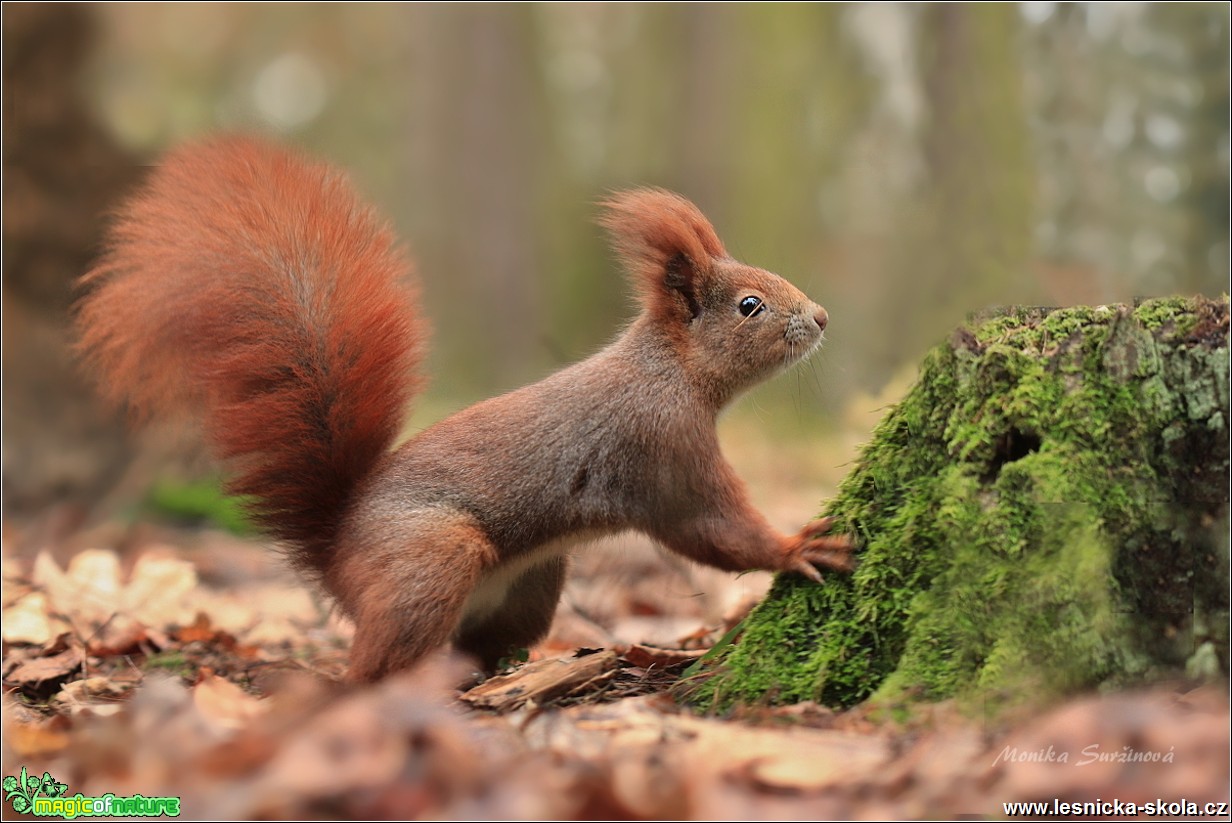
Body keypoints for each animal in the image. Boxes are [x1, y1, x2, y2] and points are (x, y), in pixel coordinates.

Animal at [74, 136, 847, 680]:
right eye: (750, 305)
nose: (821, 317)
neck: (670, 372)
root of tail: (336, 554)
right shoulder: (663, 449)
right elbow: (711, 527)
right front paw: (798, 547)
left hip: (534, 579)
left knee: (481, 645)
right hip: (431, 556)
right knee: (375, 663)